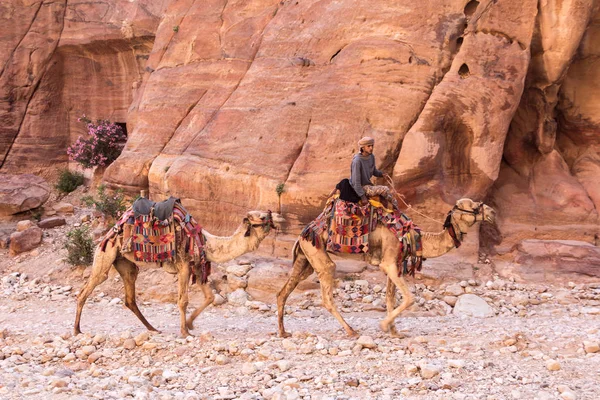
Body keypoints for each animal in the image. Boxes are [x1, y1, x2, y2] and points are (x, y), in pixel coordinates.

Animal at [74, 209, 284, 338]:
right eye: (262, 217)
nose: (280, 218)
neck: (207, 243)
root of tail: (110, 232)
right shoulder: (184, 265)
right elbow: (183, 300)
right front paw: (185, 332)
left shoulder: (197, 267)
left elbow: (210, 297)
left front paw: (190, 324)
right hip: (105, 254)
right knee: (86, 289)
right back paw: (77, 330)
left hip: (125, 263)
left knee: (130, 297)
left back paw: (153, 329)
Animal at [276, 197, 492, 338]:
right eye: (473, 205)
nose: (491, 212)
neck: (413, 237)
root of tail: (303, 233)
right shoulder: (388, 262)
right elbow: (410, 298)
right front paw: (383, 325)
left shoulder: (394, 265)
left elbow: (390, 298)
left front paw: (395, 332)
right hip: (318, 253)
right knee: (327, 293)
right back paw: (351, 331)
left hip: (305, 258)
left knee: (283, 292)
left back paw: (283, 332)